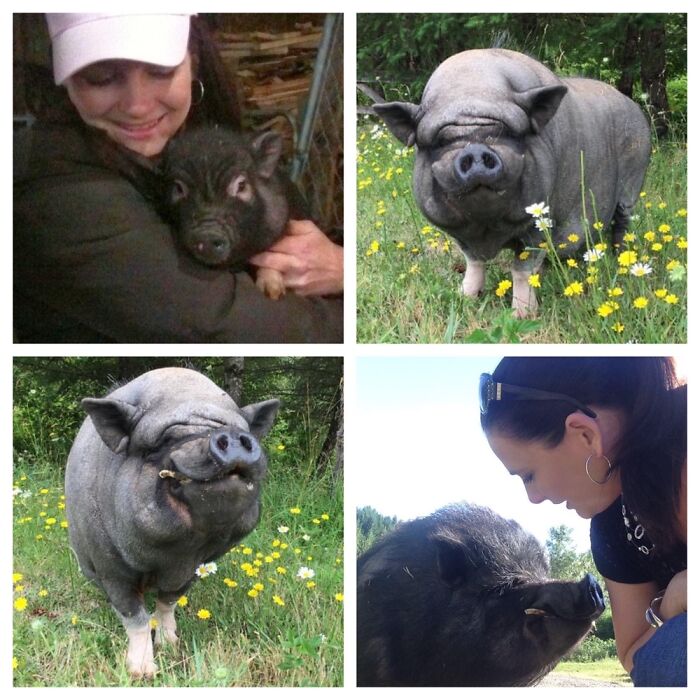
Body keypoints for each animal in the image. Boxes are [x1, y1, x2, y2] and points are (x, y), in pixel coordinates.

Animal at [64, 367, 280, 678]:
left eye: (235, 427)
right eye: (164, 441)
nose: (231, 434)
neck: (175, 556)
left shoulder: (195, 567)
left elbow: (168, 602)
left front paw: (171, 645)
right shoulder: (111, 568)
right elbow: (135, 616)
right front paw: (142, 673)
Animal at [373, 48, 651, 317]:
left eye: (505, 134)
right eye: (442, 142)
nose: (475, 151)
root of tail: (632, 105)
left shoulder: (542, 220)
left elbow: (522, 270)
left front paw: (522, 316)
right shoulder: (460, 233)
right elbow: (474, 262)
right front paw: (465, 299)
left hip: (633, 181)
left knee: (622, 222)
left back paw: (620, 256)